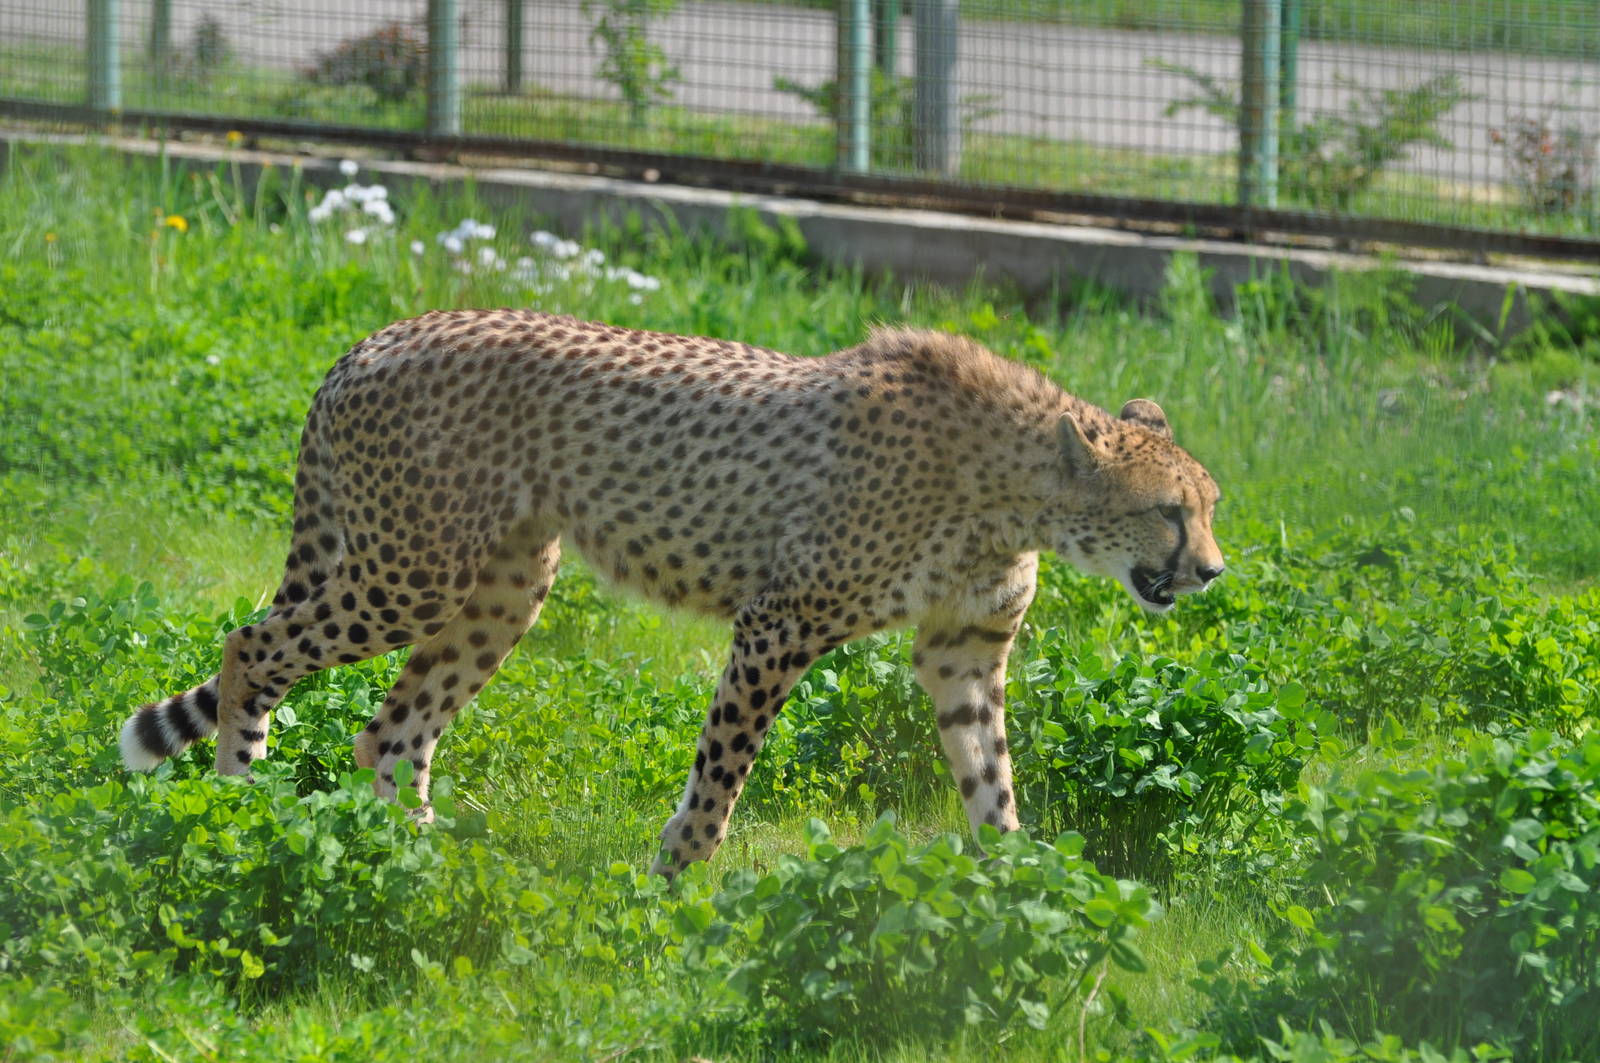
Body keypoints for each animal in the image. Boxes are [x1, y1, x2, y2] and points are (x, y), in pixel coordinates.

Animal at [120, 309, 1224, 875]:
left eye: (1209, 505)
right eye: (1170, 512)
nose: (1212, 570)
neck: (1016, 487)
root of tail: (380, 333)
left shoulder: (961, 651)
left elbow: (990, 778)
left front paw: (1011, 891)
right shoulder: (781, 622)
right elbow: (725, 765)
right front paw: (677, 873)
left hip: (505, 581)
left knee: (389, 728)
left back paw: (418, 856)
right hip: (411, 569)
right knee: (254, 646)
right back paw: (240, 803)